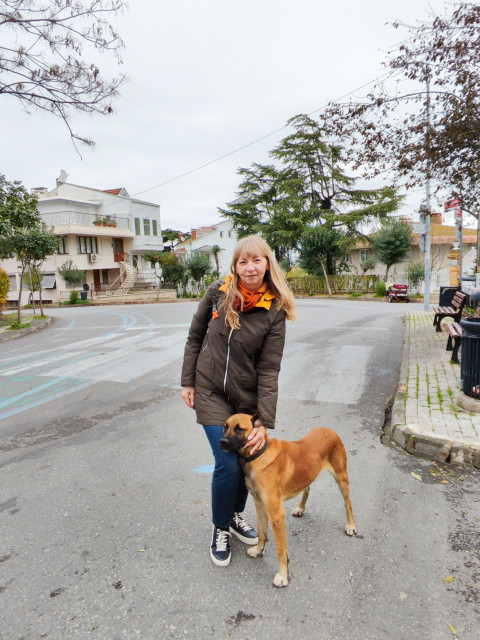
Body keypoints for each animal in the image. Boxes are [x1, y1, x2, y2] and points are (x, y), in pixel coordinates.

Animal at [219, 412, 354, 588]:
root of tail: (330, 430)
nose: (222, 442)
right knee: (307, 489)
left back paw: (350, 525)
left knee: (347, 503)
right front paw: (258, 550)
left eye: (239, 429)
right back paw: (300, 508)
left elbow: (280, 549)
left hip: (341, 478)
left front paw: (283, 575)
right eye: (225, 426)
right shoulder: (260, 505)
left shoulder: (276, 515)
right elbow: (262, 533)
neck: (259, 455)